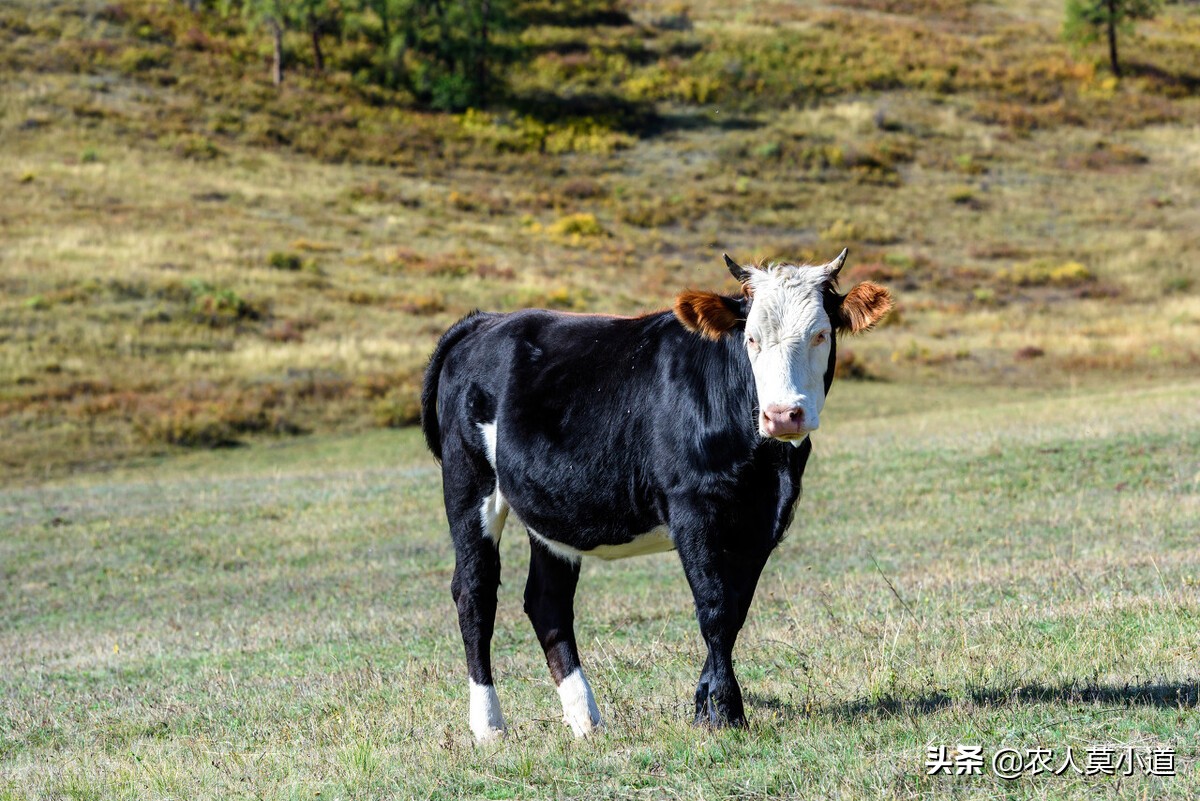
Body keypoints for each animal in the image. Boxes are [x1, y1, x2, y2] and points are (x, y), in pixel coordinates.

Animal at [422, 248, 892, 738]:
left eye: (820, 334)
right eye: (751, 338)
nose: (782, 414)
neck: (765, 463)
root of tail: (485, 321)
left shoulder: (762, 520)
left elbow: (735, 608)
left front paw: (707, 704)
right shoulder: (692, 509)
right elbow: (714, 608)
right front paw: (726, 711)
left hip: (550, 509)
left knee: (547, 602)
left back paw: (586, 720)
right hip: (468, 483)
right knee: (474, 593)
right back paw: (489, 726)